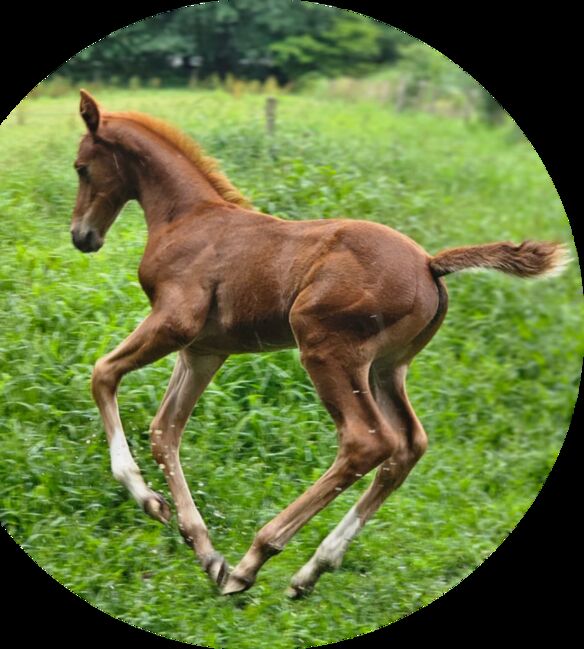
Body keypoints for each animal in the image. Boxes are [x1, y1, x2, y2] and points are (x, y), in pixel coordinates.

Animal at [70, 91, 568, 596]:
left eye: (82, 168)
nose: (82, 236)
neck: (186, 218)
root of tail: (430, 263)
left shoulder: (174, 322)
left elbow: (103, 373)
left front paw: (147, 498)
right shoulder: (204, 350)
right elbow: (164, 431)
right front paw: (205, 551)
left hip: (325, 348)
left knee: (366, 442)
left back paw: (256, 558)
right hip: (386, 367)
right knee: (408, 445)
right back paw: (312, 568)